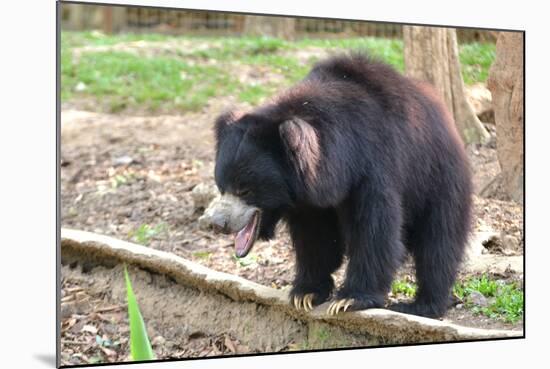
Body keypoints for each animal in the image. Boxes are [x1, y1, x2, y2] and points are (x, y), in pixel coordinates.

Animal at [211, 51, 474, 316]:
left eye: (245, 189)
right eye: (221, 186)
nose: (218, 224)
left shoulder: (374, 167)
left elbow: (374, 229)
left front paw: (349, 299)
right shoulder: (309, 200)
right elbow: (315, 237)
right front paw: (305, 294)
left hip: (438, 178)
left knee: (438, 242)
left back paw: (422, 305)